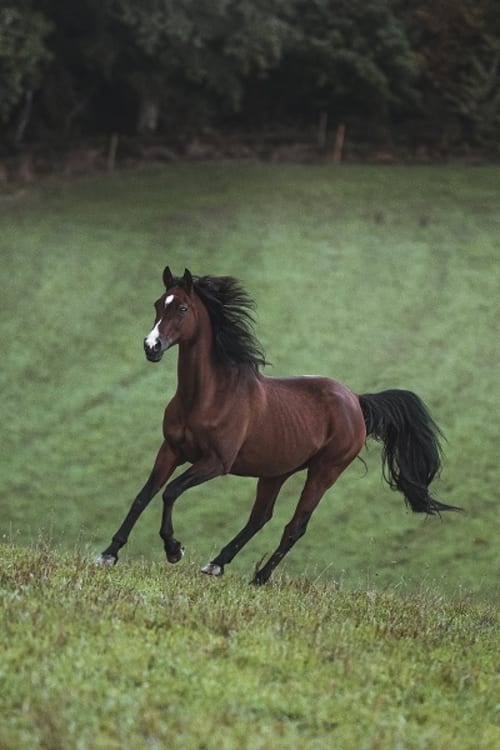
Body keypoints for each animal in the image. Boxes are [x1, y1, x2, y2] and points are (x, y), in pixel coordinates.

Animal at [99, 267, 461, 584]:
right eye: (158, 305)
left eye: (183, 308)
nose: (151, 347)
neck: (207, 396)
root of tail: (356, 400)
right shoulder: (171, 450)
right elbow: (144, 495)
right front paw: (109, 554)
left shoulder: (215, 463)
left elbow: (171, 491)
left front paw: (174, 550)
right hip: (277, 471)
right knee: (260, 518)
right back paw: (216, 565)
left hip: (324, 472)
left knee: (294, 526)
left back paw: (259, 577)